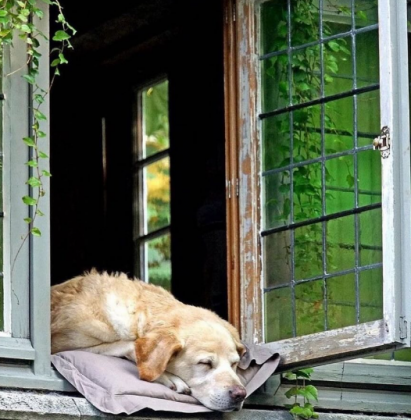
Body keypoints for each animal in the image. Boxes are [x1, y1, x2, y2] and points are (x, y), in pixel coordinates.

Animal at [50, 270, 246, 412]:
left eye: (234, 364)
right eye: (205, 363)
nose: (240, 394)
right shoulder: (63, 346)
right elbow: (128, 345)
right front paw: (170, 377)